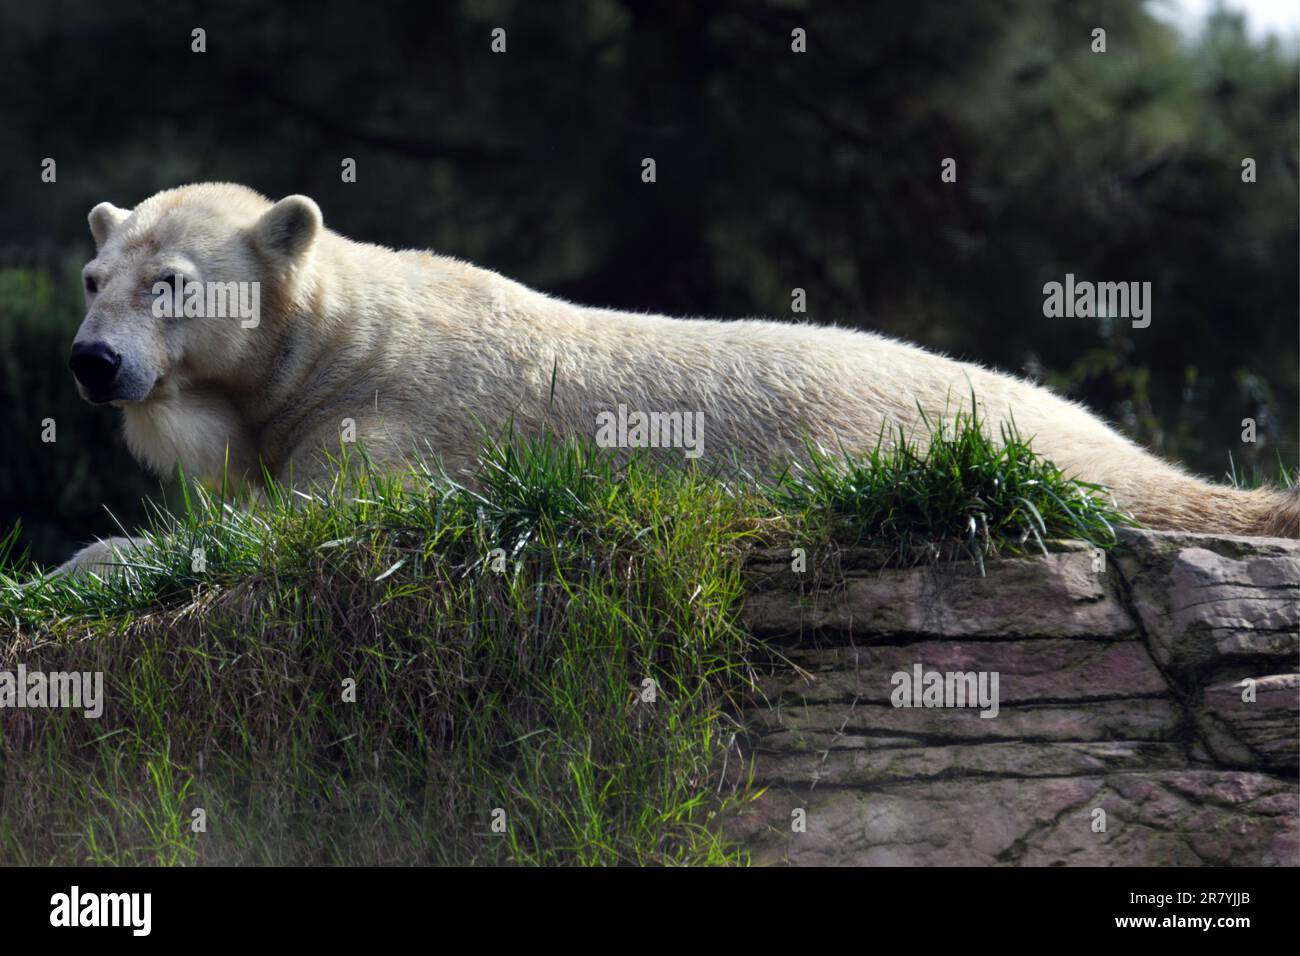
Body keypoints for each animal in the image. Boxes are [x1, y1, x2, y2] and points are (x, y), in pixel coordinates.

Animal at [58, 183, 1289, 572]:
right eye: (92, 275)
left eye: (170, 284)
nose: (93, 359)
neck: (342, 337)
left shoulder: (398, 421)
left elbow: (309, 521)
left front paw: (84, 557)